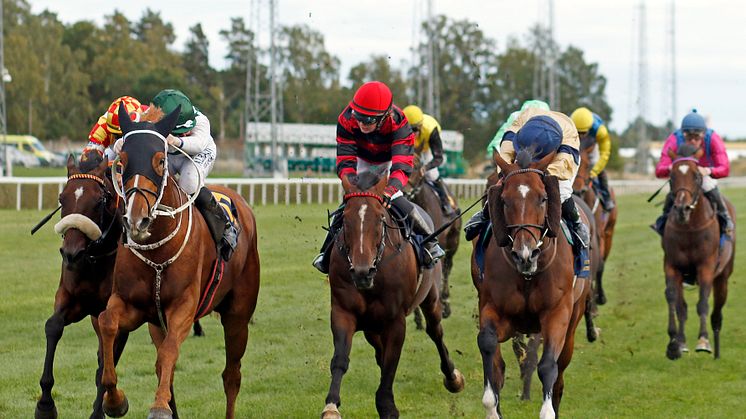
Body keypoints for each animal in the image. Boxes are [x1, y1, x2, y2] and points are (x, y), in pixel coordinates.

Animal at [96, 103, 260, 418]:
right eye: (122, 162)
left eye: (161, 160)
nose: (137, 219)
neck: (157, 254)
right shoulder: (132, 304)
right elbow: (107, 323)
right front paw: (115, 400)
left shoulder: (184, 305)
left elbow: (170, 351)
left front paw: (159, 407)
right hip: (157, 323)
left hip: (238, 314)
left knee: (231, 375)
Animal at [402, 156, 460, 324]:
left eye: (416, 168)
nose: (404, 191)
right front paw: (417, 317)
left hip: (453, 243)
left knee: (447, 268)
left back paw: (445, 303)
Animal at [474, 149, 588, 418]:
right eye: (504, 200)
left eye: (543, 198)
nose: (524, 254)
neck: (527, 274)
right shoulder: (494, 308)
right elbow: (487, 342)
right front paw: (492, 406)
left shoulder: (557, 312)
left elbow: (548, 365)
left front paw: (547, 411)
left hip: (574, 317)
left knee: (560, 371)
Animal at [660, 145, 728, 360]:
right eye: (671, 177)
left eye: (697, 176)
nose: (682, 208)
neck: (689, 228)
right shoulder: (672, 265)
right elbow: (673, 298)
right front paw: (674, 343)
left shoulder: (706, 265)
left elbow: (703, 303)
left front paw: (703, 341)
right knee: (682, 307)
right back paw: (682, 342)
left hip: (723, 276)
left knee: (717, 311)